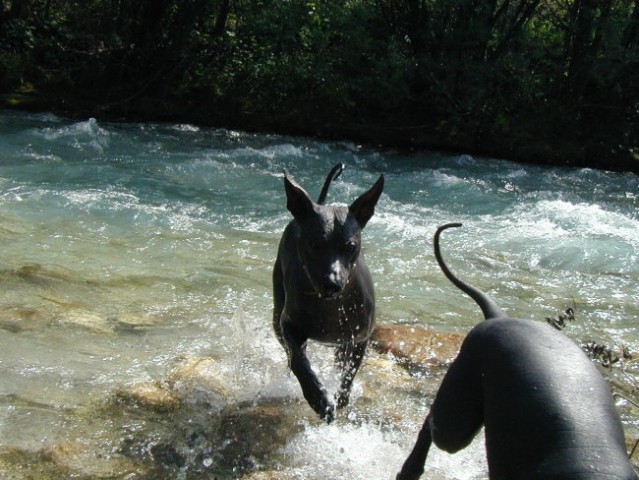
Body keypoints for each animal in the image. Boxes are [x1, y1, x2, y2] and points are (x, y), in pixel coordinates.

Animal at [272, 163, 382, 422]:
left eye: (351, 246)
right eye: (314, 244)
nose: (332, 282)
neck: (329, 305)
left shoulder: (359, 338)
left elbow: (349, 372)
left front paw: (341, 399)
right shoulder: (289, 327)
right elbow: (299, 362)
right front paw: (319, 399)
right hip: (277, 311)